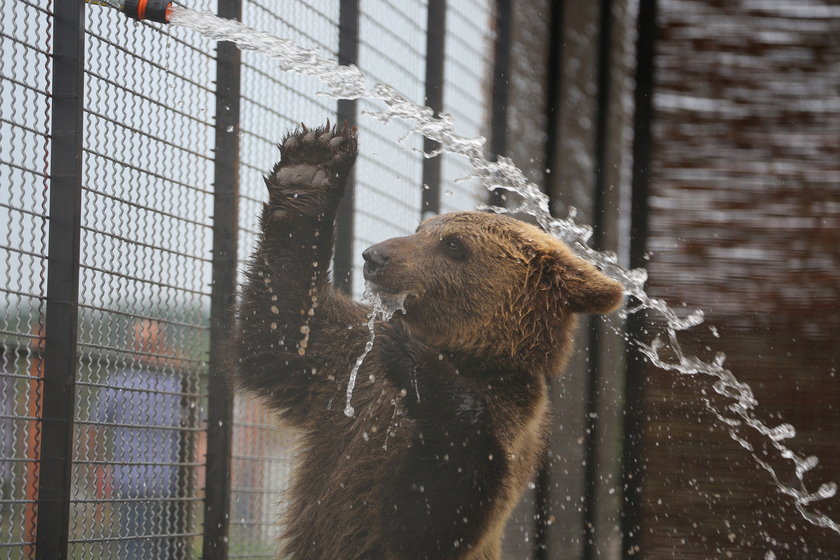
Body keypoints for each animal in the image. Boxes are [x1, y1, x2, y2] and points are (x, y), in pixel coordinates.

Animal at [235, 123, 624, 560]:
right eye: (422, 229)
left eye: (454, 244)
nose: (374, 256)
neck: (466, 351)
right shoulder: (350, 361)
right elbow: (286, 331)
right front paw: (309, 169)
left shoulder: (509, 417)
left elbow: (425, 515)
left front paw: (421, 369)